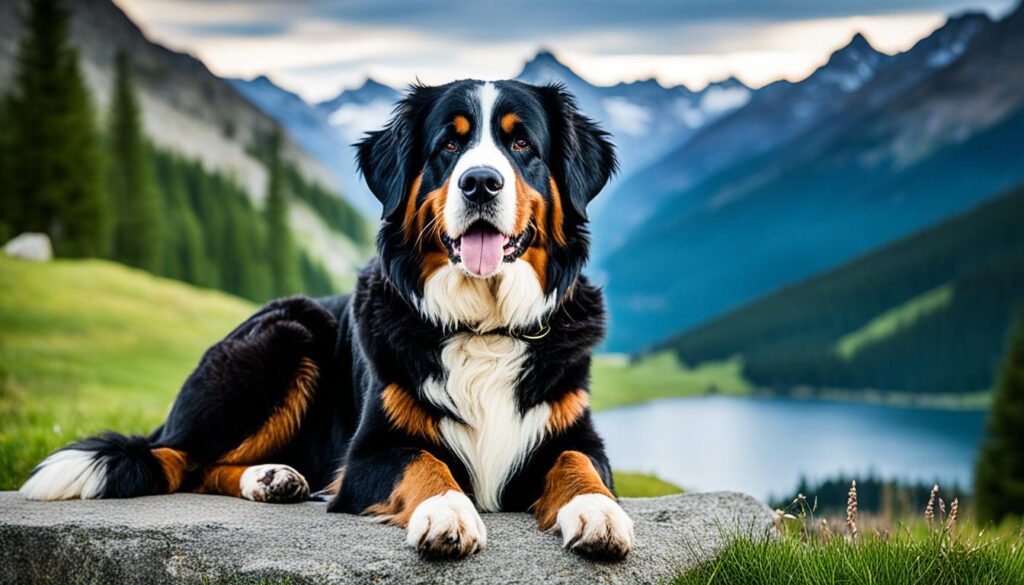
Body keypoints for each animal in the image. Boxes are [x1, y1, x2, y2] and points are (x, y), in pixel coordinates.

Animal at [19, 79, 630, 561]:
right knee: (179, 460)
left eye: (522, 143)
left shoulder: (574, 432)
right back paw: (268, 476)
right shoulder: (369, 452)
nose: (480, 181)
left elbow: (578, 462)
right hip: (288, 335)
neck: (482, 325)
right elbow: (425, 462)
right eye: (449, 144)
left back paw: (276, 477)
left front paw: (599, 513)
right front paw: (447, 513)